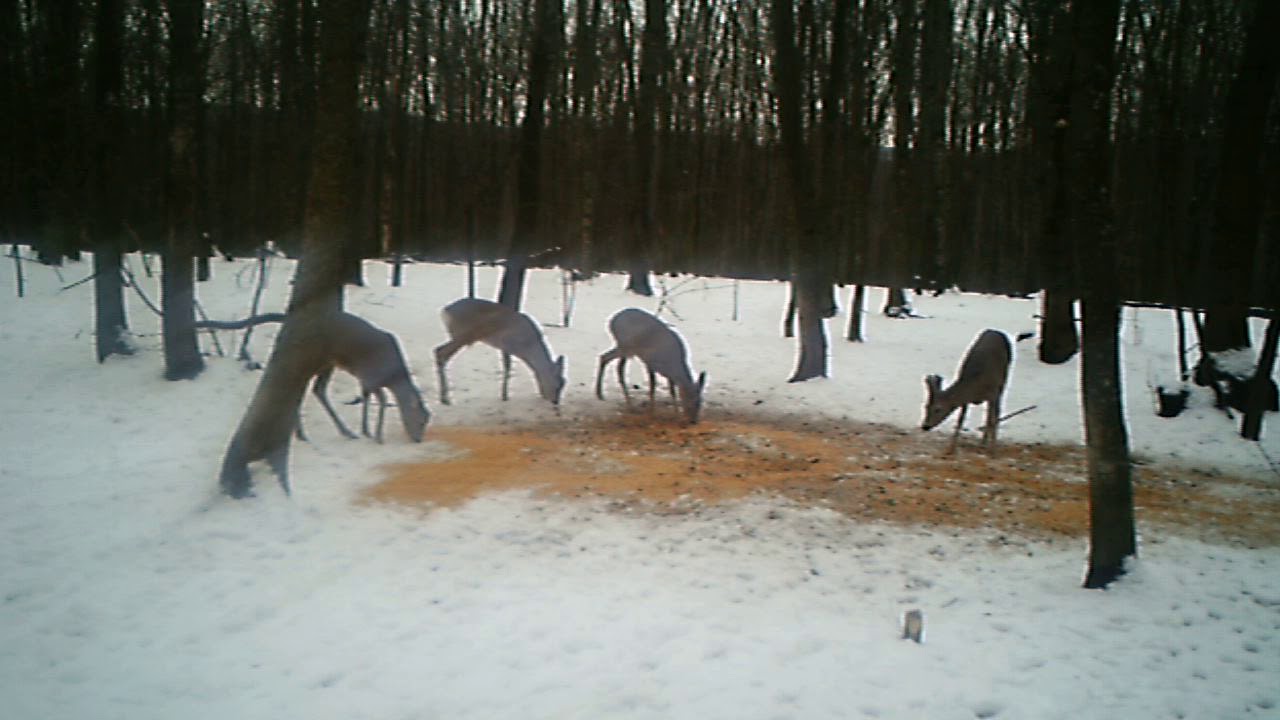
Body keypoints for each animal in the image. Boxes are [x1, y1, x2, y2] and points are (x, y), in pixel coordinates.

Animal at [294, 312, 430, 443]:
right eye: (421, 421)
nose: (418, 440)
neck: (392, 377)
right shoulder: (371, 378)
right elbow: (383, 399)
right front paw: (378, 437)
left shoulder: (365, 381)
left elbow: (366, 398)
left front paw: (367, 431)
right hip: (315, 361)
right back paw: (303, 434)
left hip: (328, 364)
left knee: (318, 389)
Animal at [435, 297, 565, 407]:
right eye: (560, 383)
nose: (555, 401)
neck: (529, 346)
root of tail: (445, 310)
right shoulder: (508, 345)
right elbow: (508, 367)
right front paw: (505, 396)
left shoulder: (506, 348)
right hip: (463, 335)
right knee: (440, 352)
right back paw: (446, 399)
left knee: (439, 351)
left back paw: (444, 398)